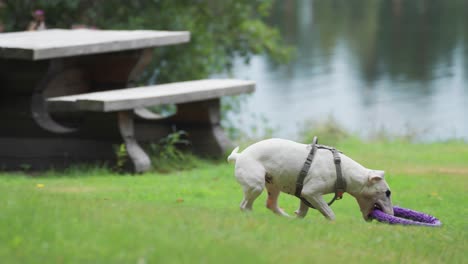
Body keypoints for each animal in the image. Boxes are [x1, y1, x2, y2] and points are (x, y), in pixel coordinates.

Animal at [227, 138, 392, 221]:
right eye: (388, 193)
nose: (392, 216)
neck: (342, 170)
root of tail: (239, 156)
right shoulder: (311, 193)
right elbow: (330, 214)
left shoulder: (304, 195)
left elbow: (303, 212)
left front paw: (297, 218)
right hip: (256, 186)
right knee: (245, 206)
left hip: (273, 185)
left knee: (271, 204)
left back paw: (286, 219)